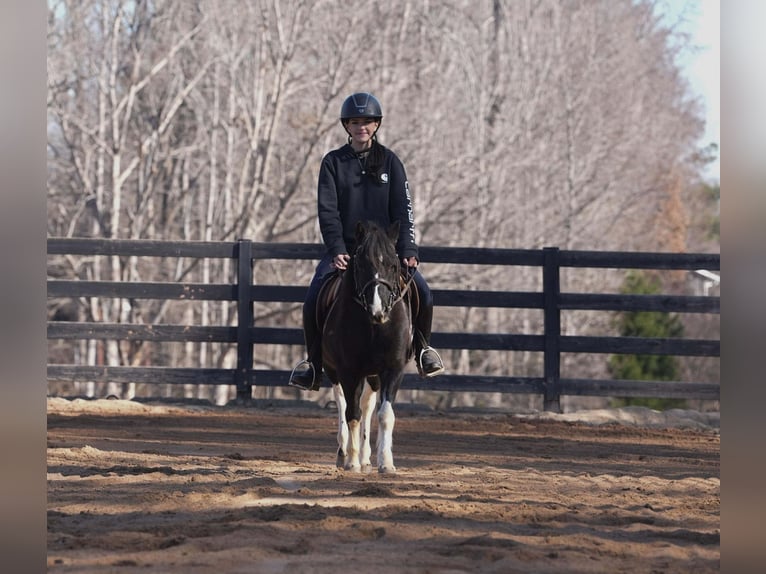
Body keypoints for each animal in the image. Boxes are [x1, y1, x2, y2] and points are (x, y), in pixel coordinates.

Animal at [320, 220, 414, 474]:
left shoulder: (393, 369)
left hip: (372, 375)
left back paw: (366, 457)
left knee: (368, 406)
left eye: (393, 265)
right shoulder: (348, 371)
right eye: (361, 264)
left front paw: (386, 462)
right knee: (343, 404)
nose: (378, 309)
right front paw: (352, 462)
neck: (373, 325)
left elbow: (384, 414)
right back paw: (345, 454)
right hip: (334, 372)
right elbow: (352, 413)